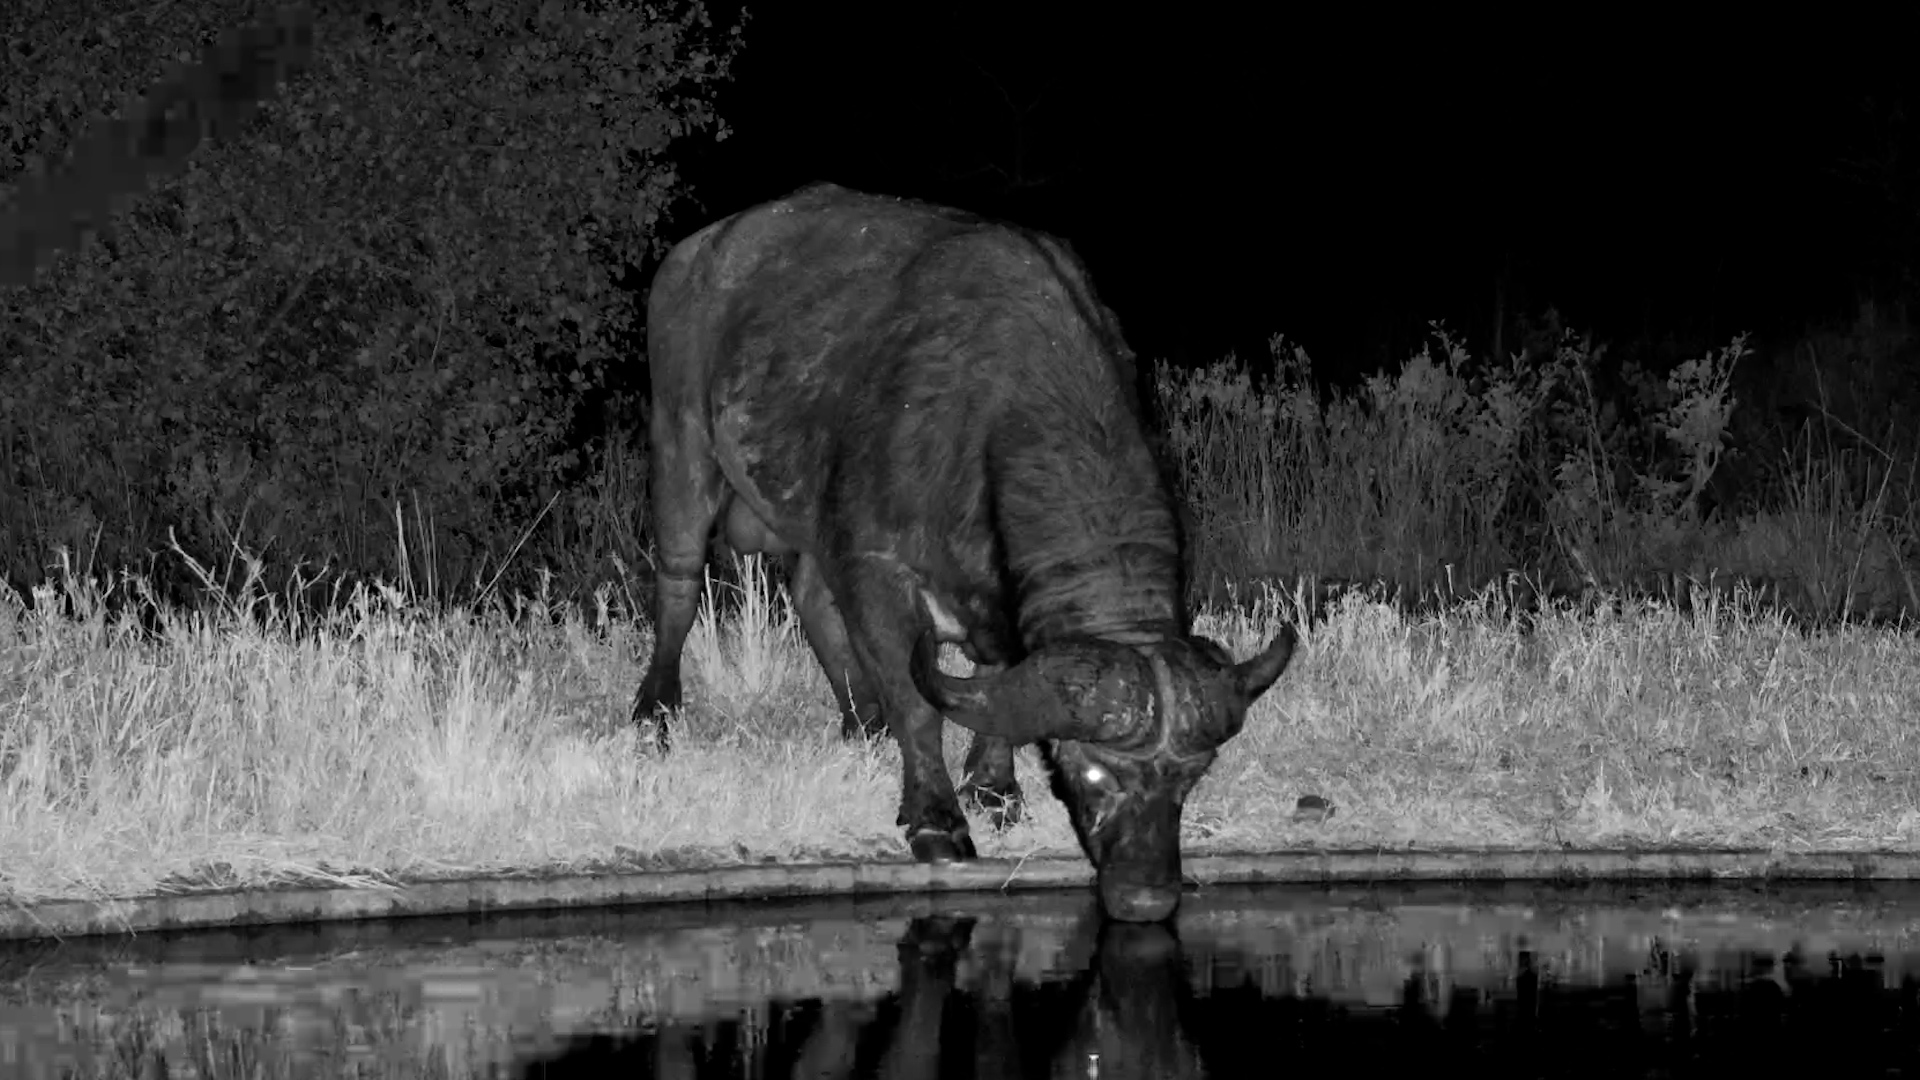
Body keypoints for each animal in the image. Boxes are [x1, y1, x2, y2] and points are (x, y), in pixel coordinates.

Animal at [631, 184, 1295, 922]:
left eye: (1192, 776)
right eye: (1089, 770)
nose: (1146, 894)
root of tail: (697, 250)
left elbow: (998, 679)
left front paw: (995, 786)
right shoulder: (877, 566)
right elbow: (917, 701)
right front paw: (937, 819)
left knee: (809, 597)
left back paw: (860, 721)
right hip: (682, 442)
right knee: (680, 580)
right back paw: (655, 714)